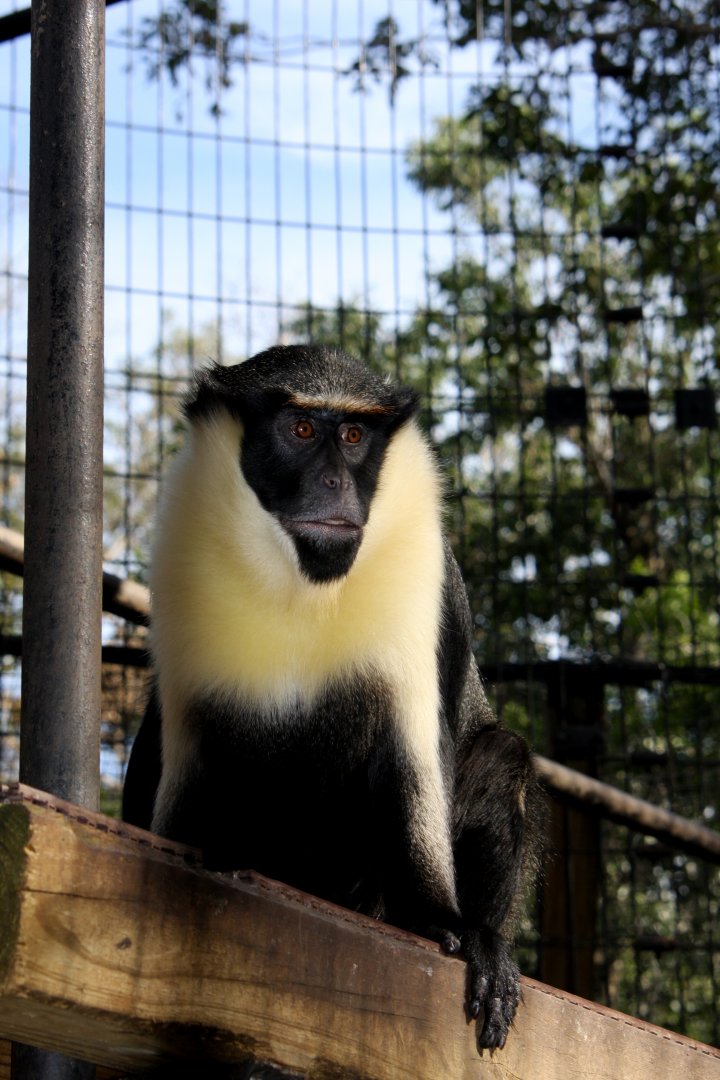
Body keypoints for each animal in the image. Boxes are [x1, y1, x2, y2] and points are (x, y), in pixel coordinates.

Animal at [122, 344, 540, 1052]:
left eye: (351, 436)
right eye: (299, 429)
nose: (334, 484)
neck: (303, 584)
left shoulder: (424, 585)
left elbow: (413, 763)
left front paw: (447, 925)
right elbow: (179, 761)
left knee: (501, 755)